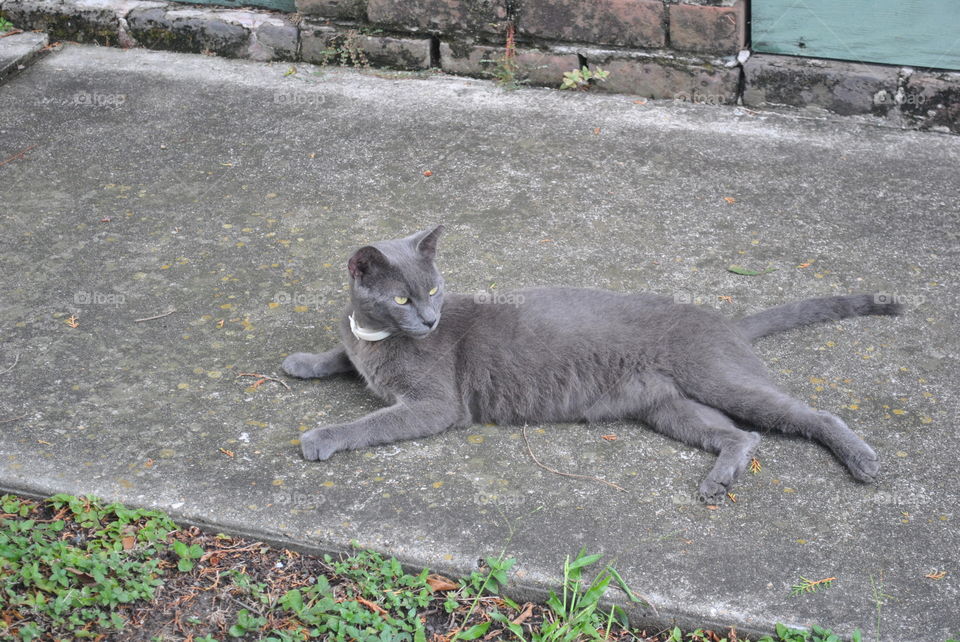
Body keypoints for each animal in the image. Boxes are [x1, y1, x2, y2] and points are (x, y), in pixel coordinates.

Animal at [284, 225, 900, 500]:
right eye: (401, 298)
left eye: (433, 290)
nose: (432, 321)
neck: (378, 338)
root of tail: (727, 321)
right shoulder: (359, 346)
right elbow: (340, 355)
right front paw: (302, 362)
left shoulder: (435, 405)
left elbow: (371, 420)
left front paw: (320, 436)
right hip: (669, 407)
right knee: (741, 436)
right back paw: (718, 479)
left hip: (718, 379)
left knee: (808, 415)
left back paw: (862, 460)